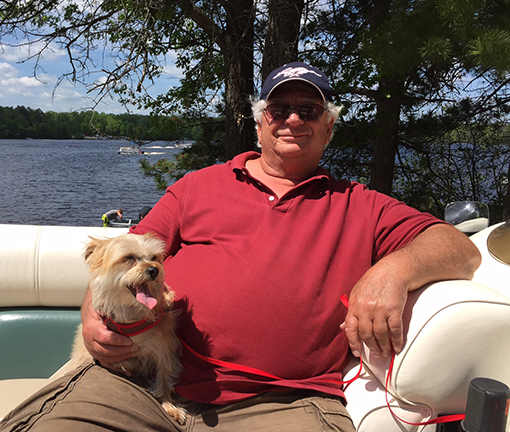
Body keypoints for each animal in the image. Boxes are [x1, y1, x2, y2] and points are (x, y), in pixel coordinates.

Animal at [70, 233, 187, 424]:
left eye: (154, 258)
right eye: (129, 258)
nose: (154, 270)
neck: (133, 312)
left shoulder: (165, 348)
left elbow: (164, 376)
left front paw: (170, 406)